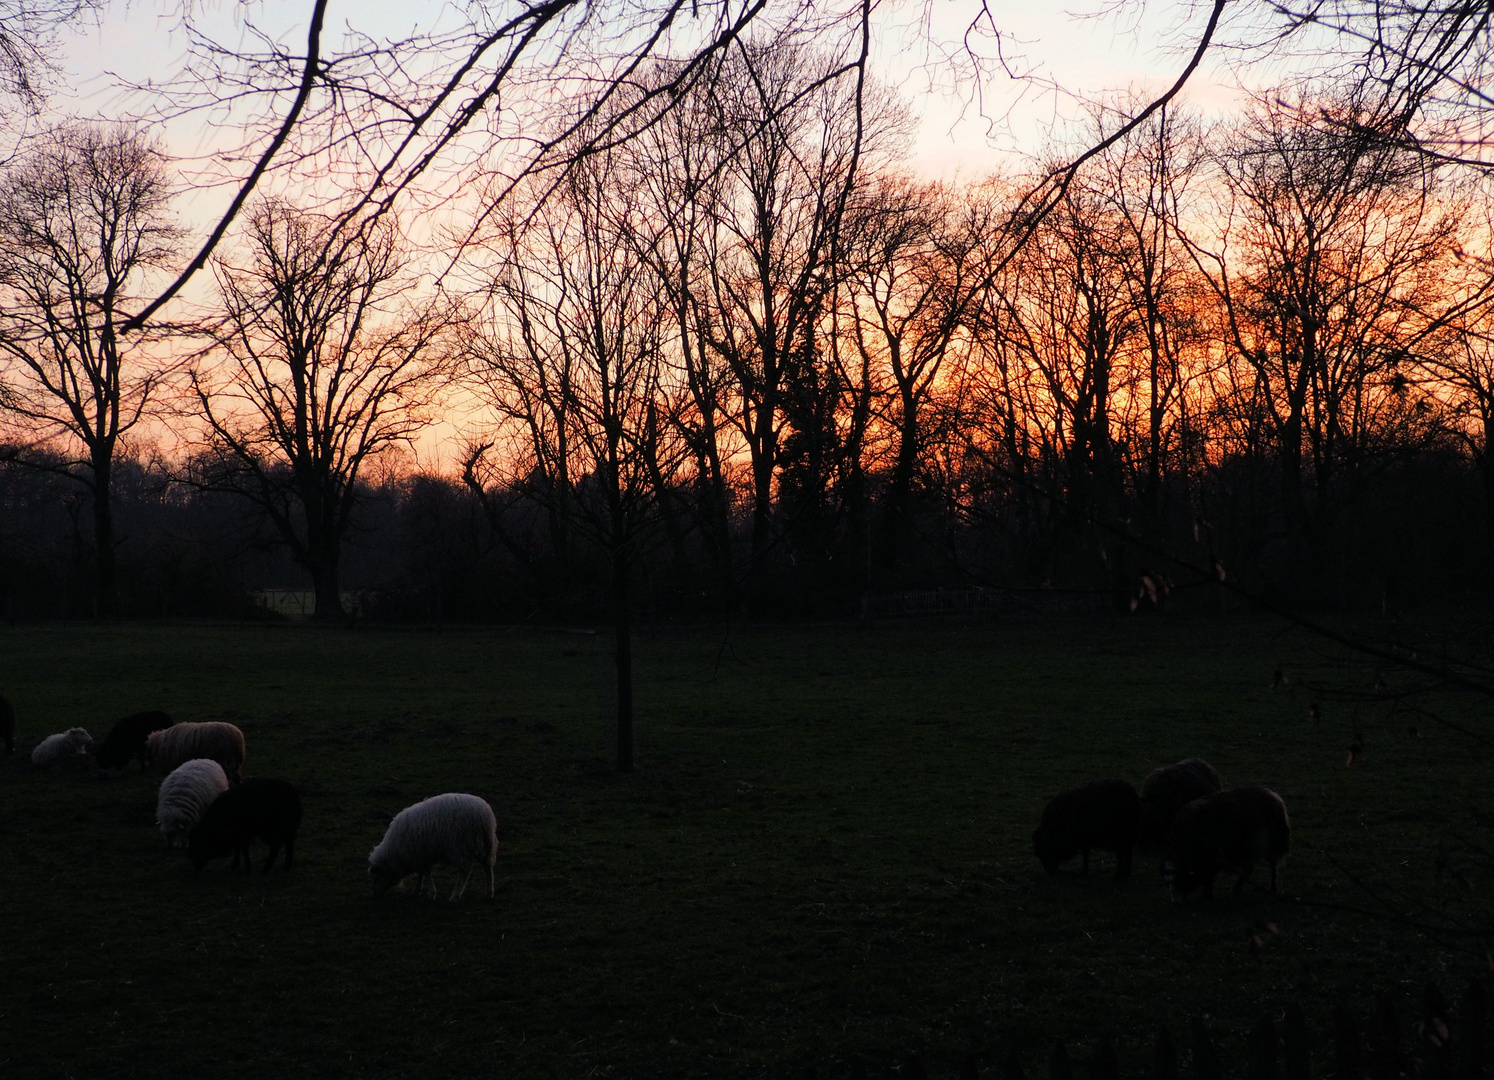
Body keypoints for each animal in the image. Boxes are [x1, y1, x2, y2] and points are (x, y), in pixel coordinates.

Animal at [369, 794, 498, 902]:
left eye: (376, 877)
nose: (375, 895)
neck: (394, 852)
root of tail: (484, 814)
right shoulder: (421, 856)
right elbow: (422, 873)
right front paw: (417, 890)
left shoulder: (421, 855)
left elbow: (426, 873)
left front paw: (430, 892)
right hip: (485, 845)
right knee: (488, 867)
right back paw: (489, 892)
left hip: (460, 847)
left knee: (464, 871)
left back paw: (455, 895)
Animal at [1159, 788, 1290, 902]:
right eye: (1168, 883)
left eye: (1181, 880)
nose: (1176, 902)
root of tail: (1275, 796)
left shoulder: (1213, 860)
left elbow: (1208, 878)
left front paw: (1207, 895)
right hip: (1250, 849)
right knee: (1249, 868)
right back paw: (1237, 889)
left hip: (1272, 845)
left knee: (1273, 867)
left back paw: (1272, 888)